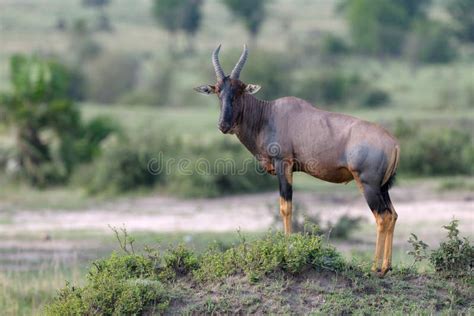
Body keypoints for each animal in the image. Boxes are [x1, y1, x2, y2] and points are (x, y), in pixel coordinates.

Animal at [194, 44, 398, 276]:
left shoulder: (284, 164)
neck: (268, 114)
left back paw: (375, 268)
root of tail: (393, 143)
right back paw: (387, 266)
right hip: (383, 187)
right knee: (393, 215)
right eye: (218, 91)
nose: (224, 125)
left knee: (382, 217)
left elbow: (286, 207)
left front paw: (287, 249)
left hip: (368, 184)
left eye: (239, 90)